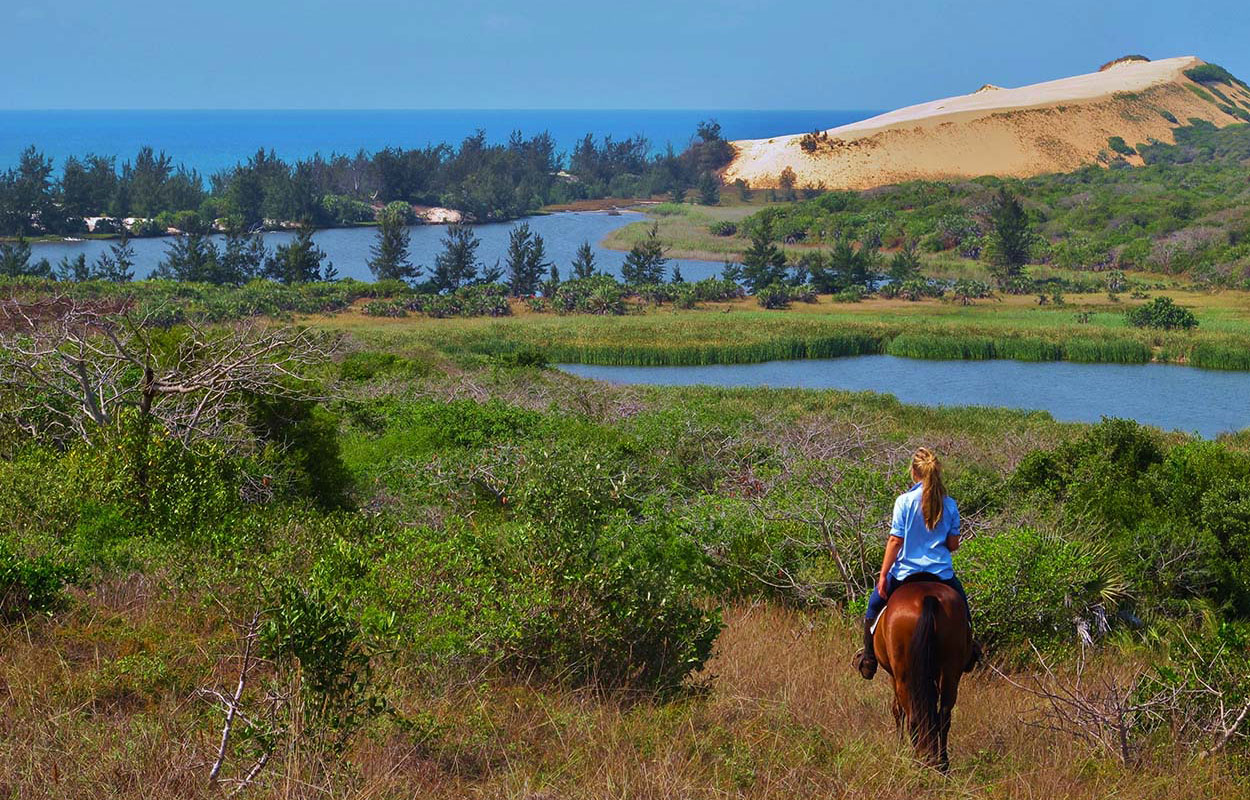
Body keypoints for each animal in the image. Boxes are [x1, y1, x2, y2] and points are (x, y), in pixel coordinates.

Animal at [875, 577, 970, 770]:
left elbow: (897, 710)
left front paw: (899, 749)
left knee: (912, 716)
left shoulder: (894, 675)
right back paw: (942, 763)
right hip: (950, 668)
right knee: (944, 715)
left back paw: (917, 759)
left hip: (903, 674)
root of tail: (928, 597)